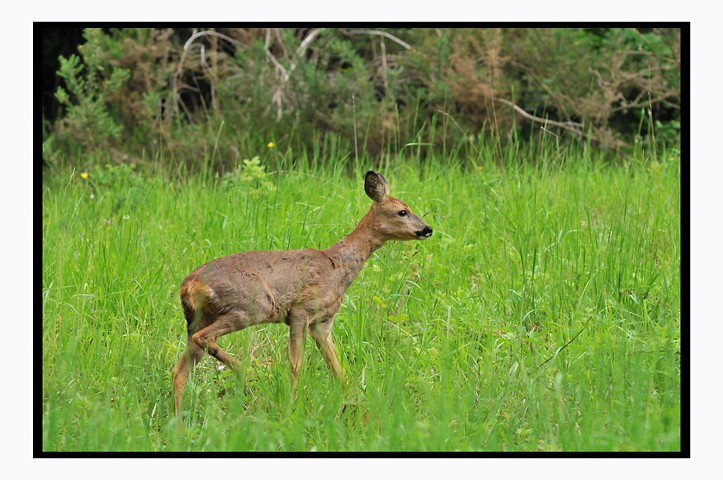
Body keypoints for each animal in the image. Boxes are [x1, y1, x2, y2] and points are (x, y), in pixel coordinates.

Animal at [174, 171, 436, 422]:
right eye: (402, 211)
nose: (427, 229)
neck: (338, 268)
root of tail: (188, 285)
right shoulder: (301, 310)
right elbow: (295, 366)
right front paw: (291, 409)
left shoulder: (322, 323)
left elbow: (338, 370)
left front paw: (357, 408)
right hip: (251, 306)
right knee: (203, 339)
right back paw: (243, 370)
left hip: (199, 318)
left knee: (180, 369)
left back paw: (178, 423)